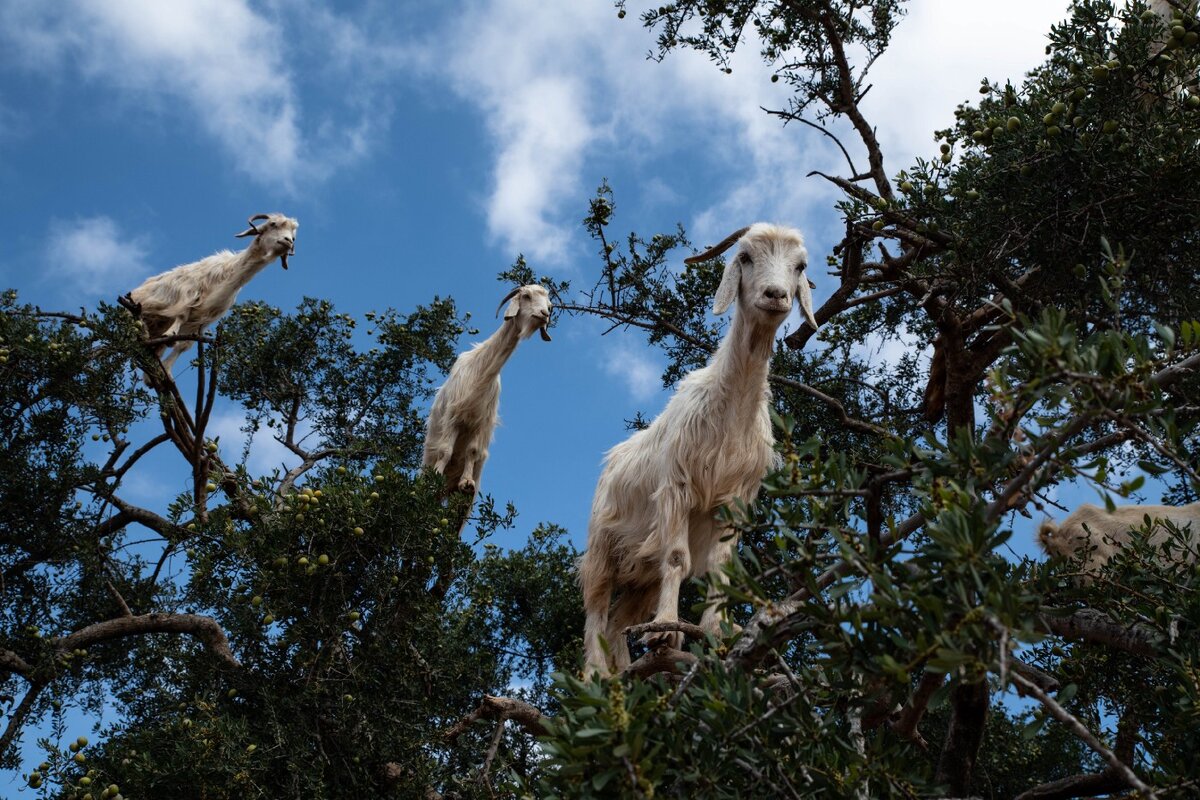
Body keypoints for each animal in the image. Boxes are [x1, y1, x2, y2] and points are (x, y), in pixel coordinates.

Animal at [121, 212, 297, 376]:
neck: (228, 274)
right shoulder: (189, 294)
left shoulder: (204, 319)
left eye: (293, 235)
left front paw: (165, 370)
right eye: (273, 224)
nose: (288, 241)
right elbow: (181, 316)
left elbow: (184, 345)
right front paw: (170, 333)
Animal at [422, 287, 552, 496]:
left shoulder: (480, 422)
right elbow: (445, 450)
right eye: (526, 296)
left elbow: (472, 451)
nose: (544, 314)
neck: (481, 371)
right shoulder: (453, 415)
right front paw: (436, 475)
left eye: (549, 305)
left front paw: (466, 482)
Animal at [578, 220, 820, 676]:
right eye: (745, 257)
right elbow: (678, 558)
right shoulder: (677, 488)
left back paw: (627, 675)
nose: (776, 295)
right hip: (602, 546)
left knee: (620, 620)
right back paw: (596, 675)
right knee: (596, 610)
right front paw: (666, 629)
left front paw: (714, 632)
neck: (729, 412)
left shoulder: (735, 499)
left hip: (642, 570)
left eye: (799, 266)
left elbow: (721, 569)